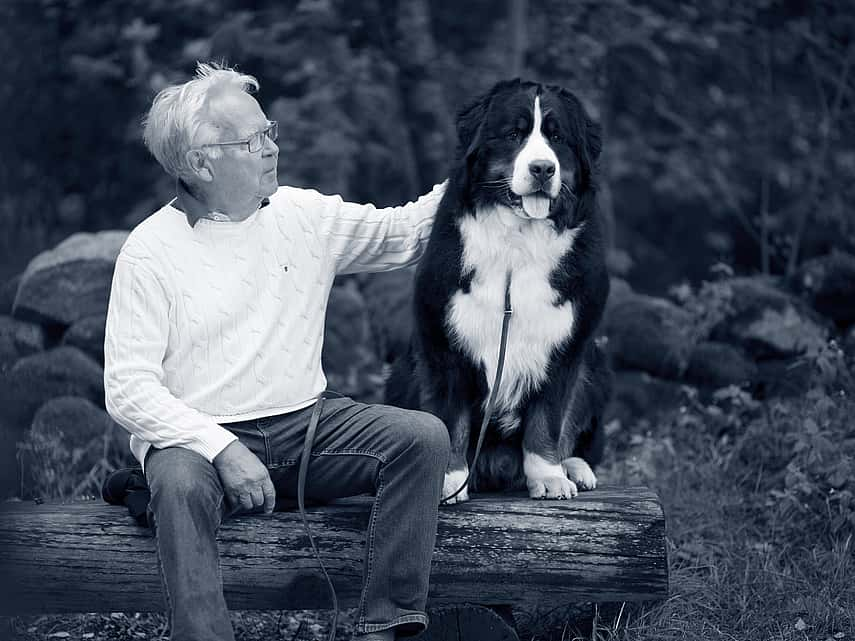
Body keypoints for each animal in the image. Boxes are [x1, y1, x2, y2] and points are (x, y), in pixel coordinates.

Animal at [384, 79, 612, 500]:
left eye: (557, 138)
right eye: (513, 135)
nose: (543, 168)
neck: (517, 243)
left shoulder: (566, 349)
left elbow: (549, 420)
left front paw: (549, 477)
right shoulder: (444, 343)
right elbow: (450, 418)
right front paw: (448, 478)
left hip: (598, 365)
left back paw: (575, 469)